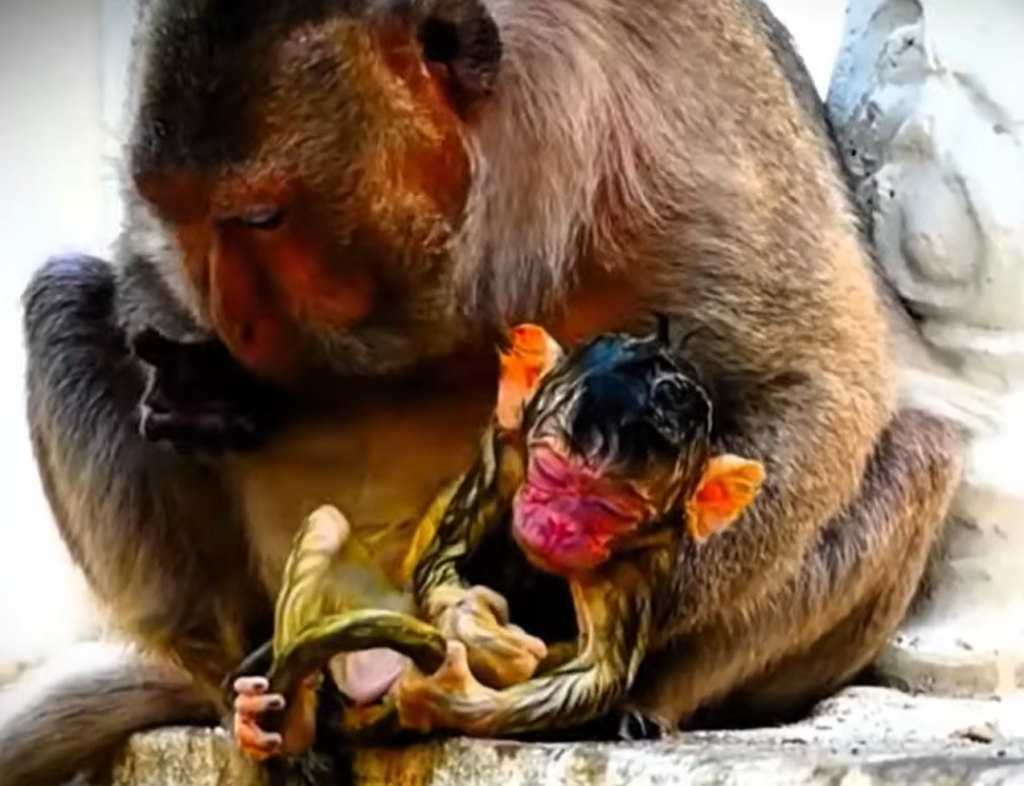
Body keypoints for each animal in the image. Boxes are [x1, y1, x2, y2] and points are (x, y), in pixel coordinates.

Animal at [2, 0, 970, 783]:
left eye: (261, 218)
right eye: (192, 217)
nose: (234, 322)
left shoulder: (687, 135)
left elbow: (814, 382)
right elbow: (133, 265)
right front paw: (203, 378)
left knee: (917, 444)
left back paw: (640, 700)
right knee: (65, 297)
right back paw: (251, 694)